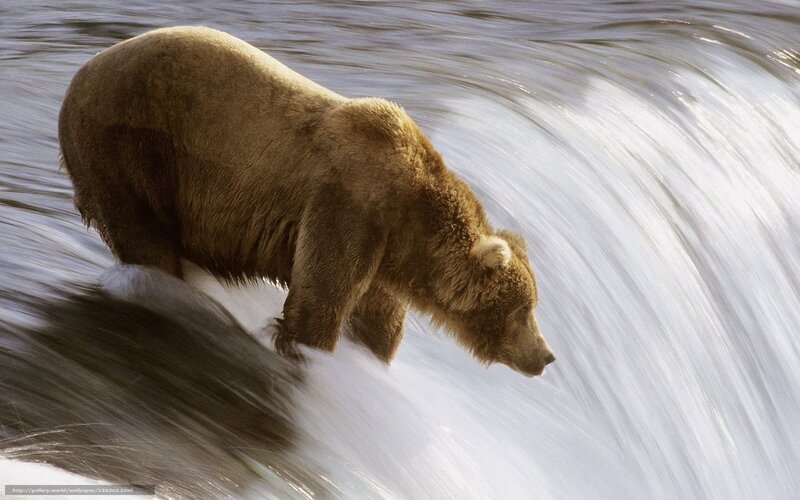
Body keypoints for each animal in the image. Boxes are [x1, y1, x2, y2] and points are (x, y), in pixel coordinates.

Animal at [58, 26, 556, 376]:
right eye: (523, 310)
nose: (546, 355)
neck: (410, 219)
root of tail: (80, 73)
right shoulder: (349, 205)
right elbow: (320, 299)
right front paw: (308, 352)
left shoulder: (383, 254)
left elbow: (377, 322)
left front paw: (370, 357)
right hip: (131, 146)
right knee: (145, 236)